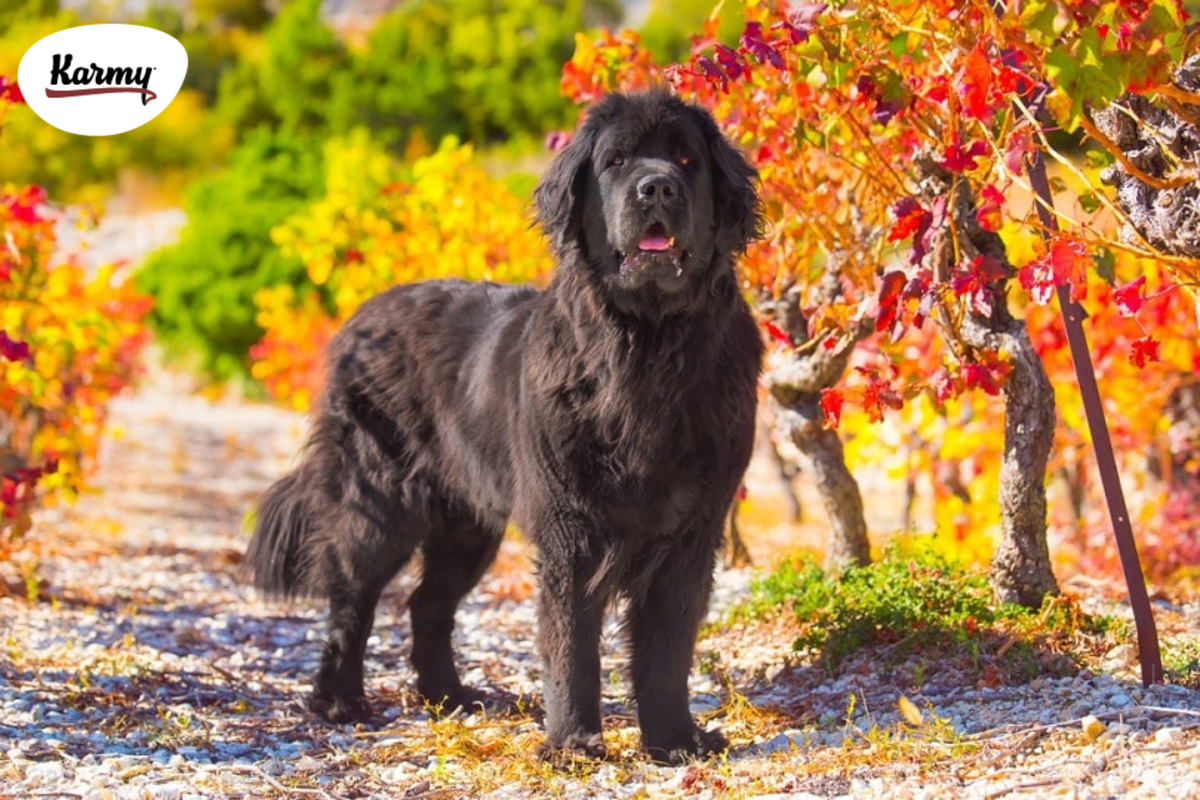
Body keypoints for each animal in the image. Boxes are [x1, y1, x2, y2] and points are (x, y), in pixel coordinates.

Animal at [248, 89, 763, 762]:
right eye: (617, 161)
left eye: (685, 159)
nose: (657, 187)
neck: (645, 350)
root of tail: (362, 315)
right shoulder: (571, 527)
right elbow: (571, 643)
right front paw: (573, 743)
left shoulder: (691, 529)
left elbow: (669, 646)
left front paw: (674, 740)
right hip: (377, 499)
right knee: (352, 599)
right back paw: (338, 701)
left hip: (468, 521)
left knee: (428, 602)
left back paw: (449, 697)